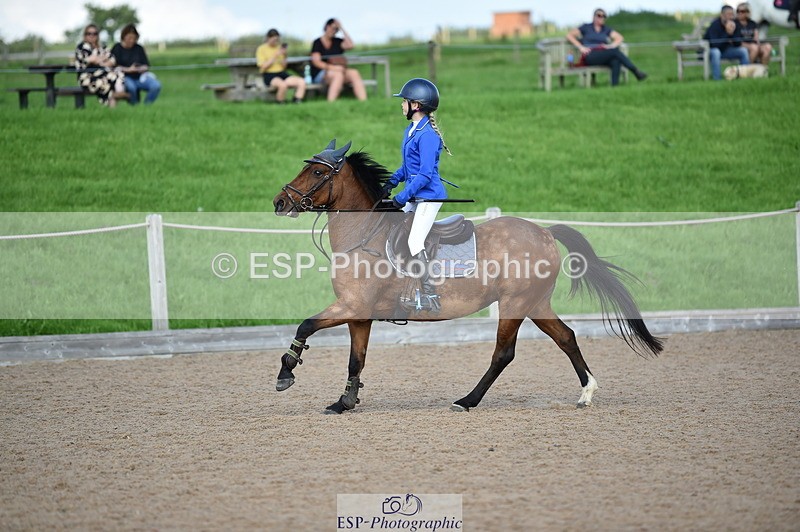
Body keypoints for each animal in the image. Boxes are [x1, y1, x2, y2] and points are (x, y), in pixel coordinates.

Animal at [272, 139, 664, 414]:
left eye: (318, 173)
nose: (280, 202)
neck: (364, 236)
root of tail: (545, 232)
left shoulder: (351, 305)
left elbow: (305, 325)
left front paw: (286, 373)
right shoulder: (358, 313)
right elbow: (357, 359)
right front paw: (345, 402)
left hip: (515, 303)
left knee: (503, 353)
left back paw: (467, 400)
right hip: (536, 303)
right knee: (566, 337)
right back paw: (586, 393)